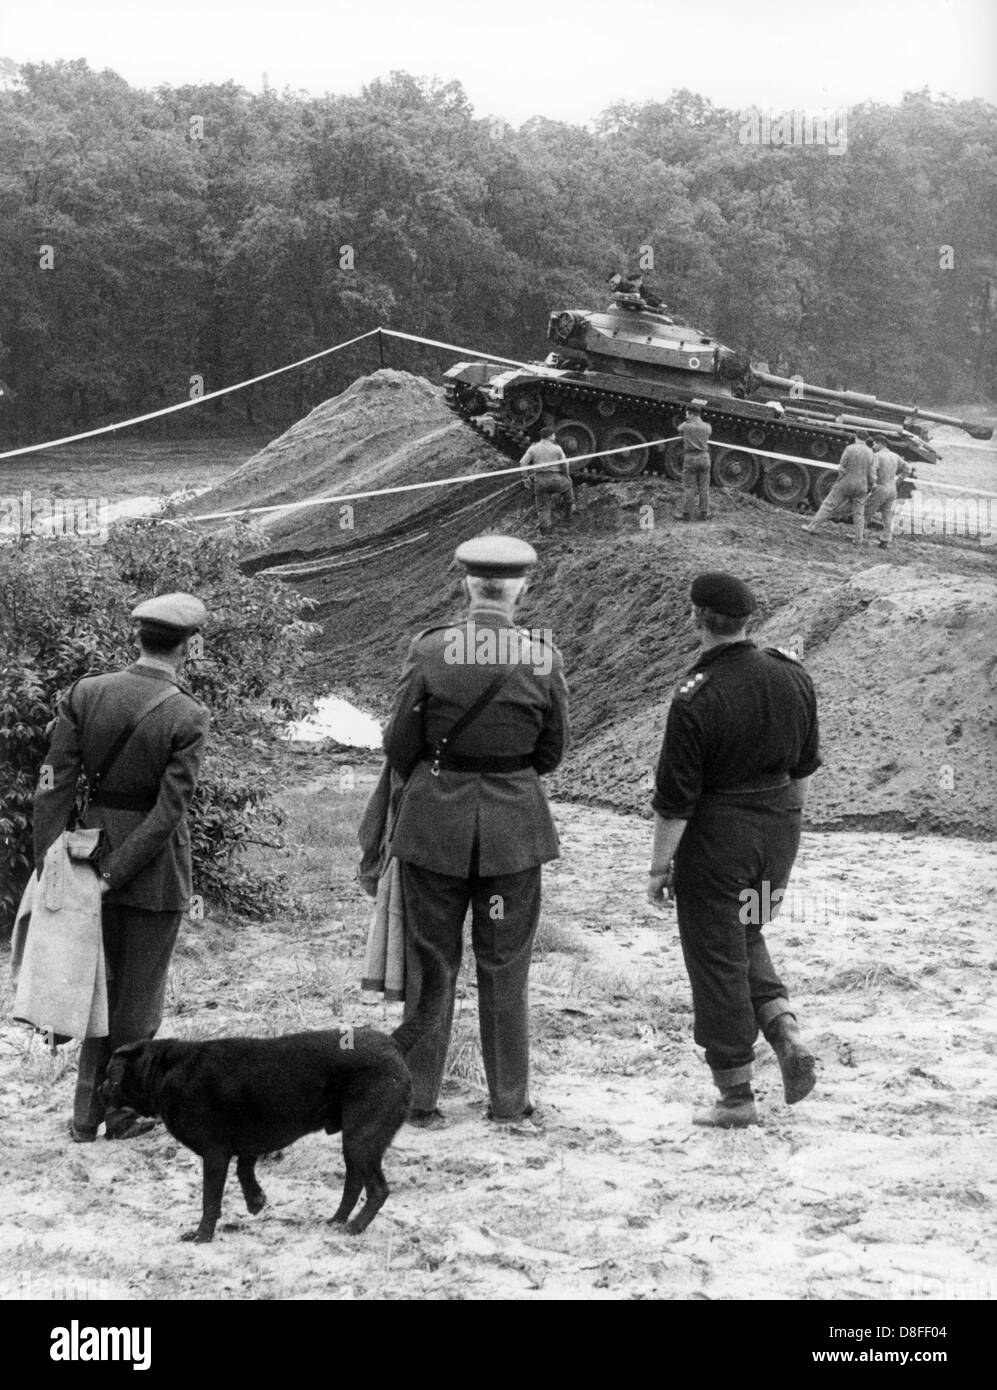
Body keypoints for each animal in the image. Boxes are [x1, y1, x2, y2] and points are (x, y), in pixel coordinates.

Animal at [102, 961, 442, 1245]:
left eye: (111, 1076)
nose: (101, 1089)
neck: (166, 1070)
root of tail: (393, 1043)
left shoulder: (215, 1154)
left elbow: (210, 1200)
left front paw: (202, 1234)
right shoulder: (248, 1141)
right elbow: (245, 1171)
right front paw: (256, 1201)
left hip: (362, 1139)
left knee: (378, 1189)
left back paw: (355, 1227)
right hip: (355, 1141)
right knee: (354, 1183)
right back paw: (337, 1220)